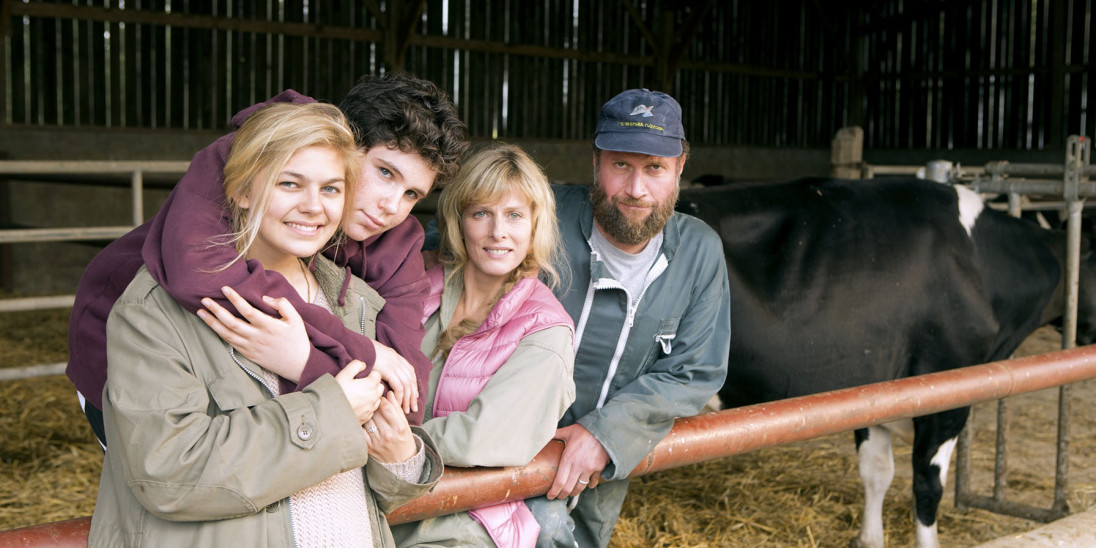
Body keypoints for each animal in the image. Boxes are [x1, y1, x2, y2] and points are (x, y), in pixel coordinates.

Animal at [679, 177, 1091, 548]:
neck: (980, 260)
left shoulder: (873, 388)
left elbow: (876, 472)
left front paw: (869, 538)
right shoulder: (946, 394)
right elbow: (927, 486)